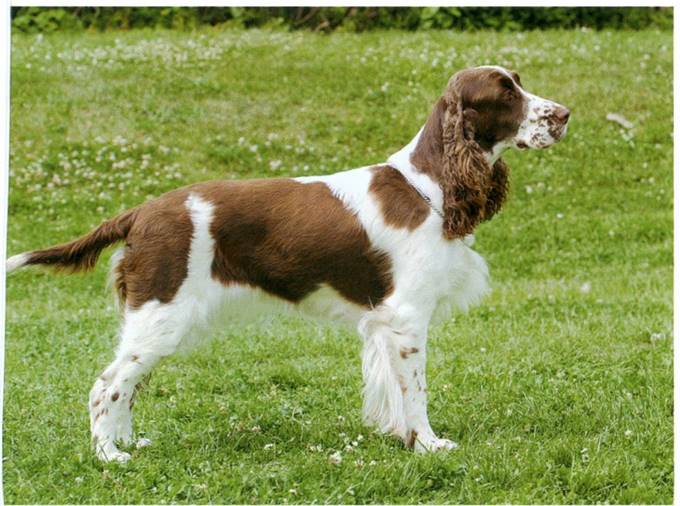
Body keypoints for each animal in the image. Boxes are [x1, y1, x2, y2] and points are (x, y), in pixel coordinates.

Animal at [6, 66, 568, 462]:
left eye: (520, 83)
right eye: (505, 93)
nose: (563, 114)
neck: (429, 186)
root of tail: (140, 212)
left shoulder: (383, 323)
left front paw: (401, 438)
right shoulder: (408, 319)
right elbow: (416, 392)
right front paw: (428, 444)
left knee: (125, 387)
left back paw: (126, 444)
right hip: (162, 313)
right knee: (107, 386)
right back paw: (108, 456)